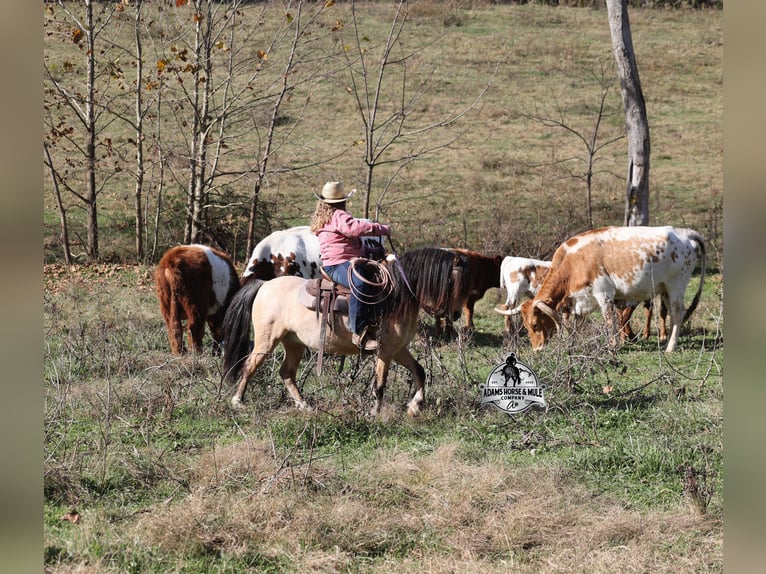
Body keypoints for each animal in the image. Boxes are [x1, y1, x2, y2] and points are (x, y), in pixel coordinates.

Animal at [221, 247, 471, 416]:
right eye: (456, 282)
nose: (457, 314)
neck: (397, 295)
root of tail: (264, 285)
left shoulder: (398, 349)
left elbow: (420, 371)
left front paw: (415, 405)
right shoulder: (384, 351)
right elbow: (380, 384)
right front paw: (375, 412)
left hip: (294, 343)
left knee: (287, 373)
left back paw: (304, 405)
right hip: (266, 341)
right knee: (249, 365)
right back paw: (237, 401)